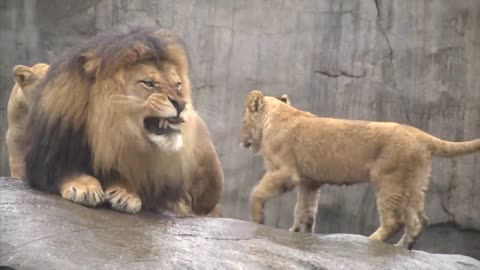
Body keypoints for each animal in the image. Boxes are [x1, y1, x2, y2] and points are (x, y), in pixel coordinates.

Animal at [22, 27, 223, 216]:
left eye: (178, 84)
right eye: (148, 83)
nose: (181, 104)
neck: (113, 130)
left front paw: (126, 194)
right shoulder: (49, 155)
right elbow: (66, 169)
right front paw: (84, 186)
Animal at [242, 90, 480, 249]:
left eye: (243, 122)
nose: (242, 141)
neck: (277, 116)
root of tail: (421, 135)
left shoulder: (285, 171)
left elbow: (257, 192)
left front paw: (259, 218)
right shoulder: (309, 181)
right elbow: (305, 210)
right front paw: (299, 232)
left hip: (389, 180)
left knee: (394, 220)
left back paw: (371, 241)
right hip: (414, 182)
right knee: (418, 221)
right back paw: (402, 248)